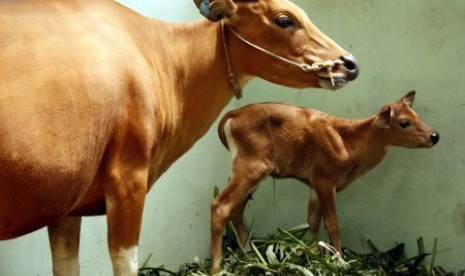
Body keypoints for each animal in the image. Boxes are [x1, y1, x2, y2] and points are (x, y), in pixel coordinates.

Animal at [0, 0, 358, 274]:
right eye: (284, 19)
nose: (349, 63)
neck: (157, 56)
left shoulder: (68, 204)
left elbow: (65, 265)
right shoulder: (128, 180)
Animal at [214, 91, 438, 272]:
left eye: (417, 115)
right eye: (404, 123)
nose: (434, 136)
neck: (349, 145)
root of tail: (228, 117)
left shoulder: (314, 182)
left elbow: (313, 221)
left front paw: (311, 257)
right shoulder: (325, 178)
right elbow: (332, 223)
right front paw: (340, 262)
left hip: (254, 171)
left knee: (236, 209)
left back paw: (250, 256)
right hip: (252, 166)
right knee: (220, 205)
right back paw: (218, 268)